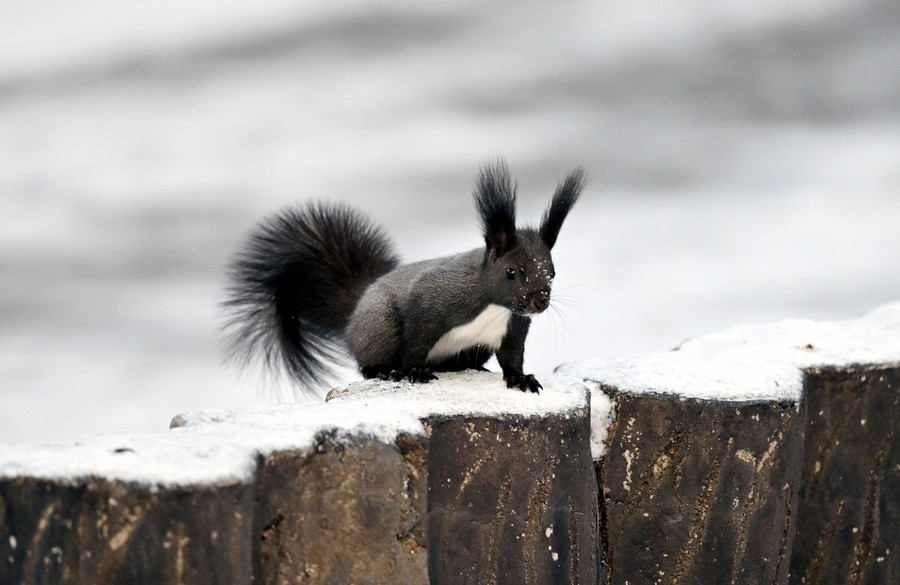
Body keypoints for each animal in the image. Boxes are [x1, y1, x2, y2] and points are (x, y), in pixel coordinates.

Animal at [223, 160, 585, 393]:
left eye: (553, 272)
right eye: (511, 272)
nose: (540, 302)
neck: (494, 305)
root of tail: (356, 311)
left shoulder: (512, 329)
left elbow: (512, 358)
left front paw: (521, 379)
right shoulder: (433, 302)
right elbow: (416, 339)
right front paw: (414, 371)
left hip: (471, 349)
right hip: (381, 326)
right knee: (368, 362)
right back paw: (386, 371)